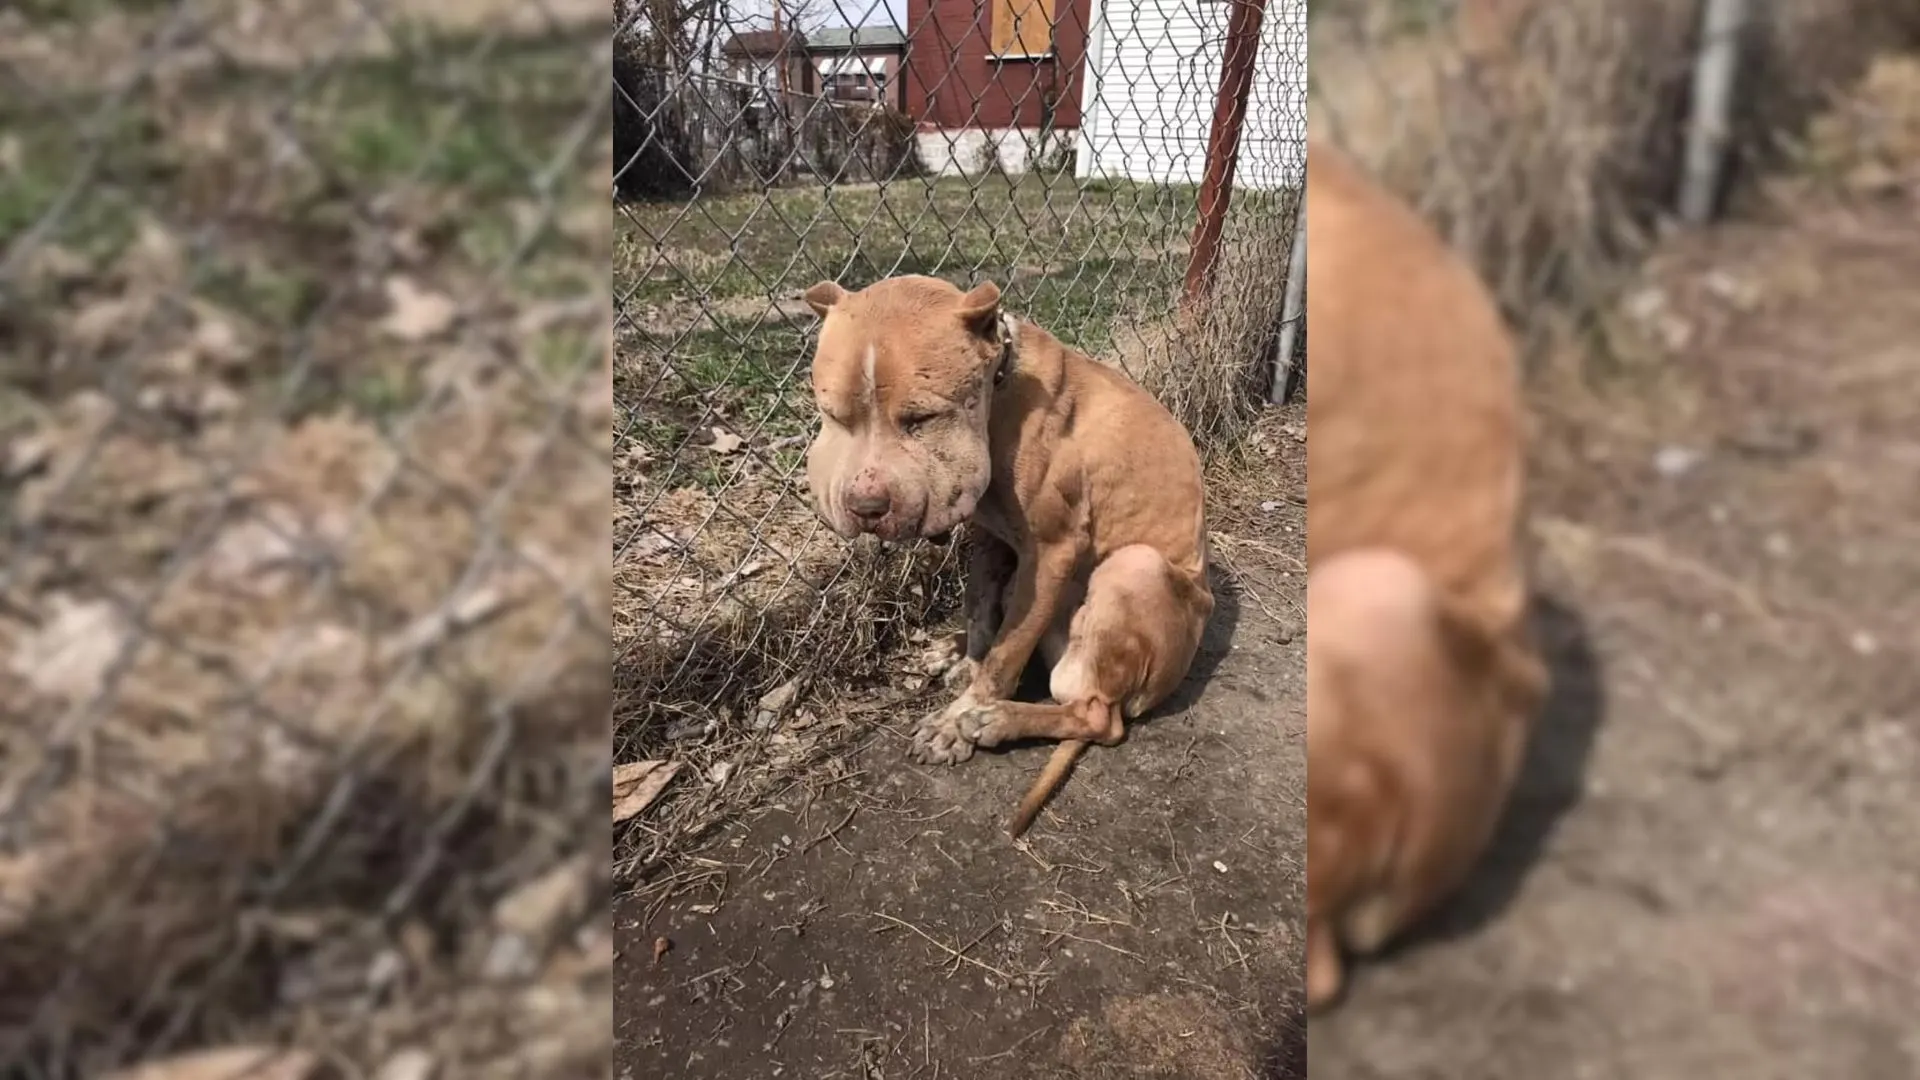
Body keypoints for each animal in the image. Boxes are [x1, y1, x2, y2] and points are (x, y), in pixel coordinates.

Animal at [794, 270, 1213, 834]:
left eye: (921, 418)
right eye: (834, 417)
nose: (865, 506)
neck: (999, 389)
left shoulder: (1051, 553)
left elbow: (1005, 654)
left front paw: (957, 720)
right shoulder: (991, 538)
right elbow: (979, 608)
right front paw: (966, 657)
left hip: (1135, 568)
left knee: (1100, 718)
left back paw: (998, 719)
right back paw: (952, 654)